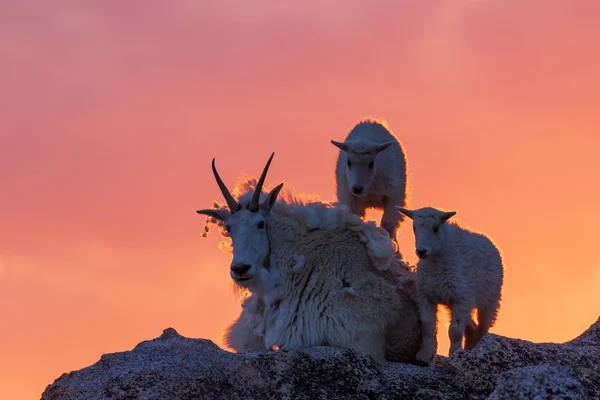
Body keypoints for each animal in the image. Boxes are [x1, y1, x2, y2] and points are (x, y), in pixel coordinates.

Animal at [396, 206, 504, 366]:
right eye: (414, 228)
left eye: (435, 228)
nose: (421, 251)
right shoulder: (426, 295)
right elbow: (428, 326)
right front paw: (424, 356)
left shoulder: (461, 298)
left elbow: (455, 330)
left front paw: (454, 355)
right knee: (471, 327)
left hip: (491, 300)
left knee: (482, 328)